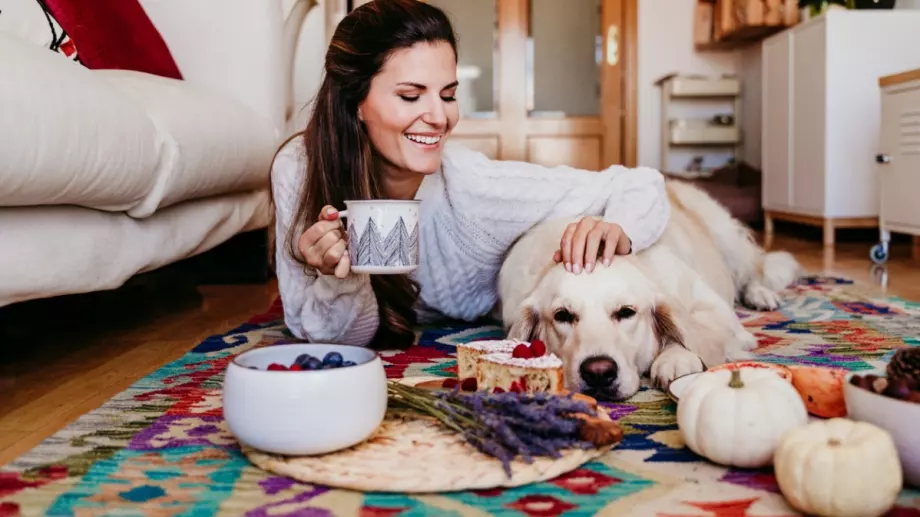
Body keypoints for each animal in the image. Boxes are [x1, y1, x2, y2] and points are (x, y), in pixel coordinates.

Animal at [492, 179, 800, 402]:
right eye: (562, 315)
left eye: (626, 312)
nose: (599, 372)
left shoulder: (716, 310)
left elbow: (691, 333)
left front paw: (675, 359)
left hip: (727, 239)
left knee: (755, 270)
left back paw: (762, 295)